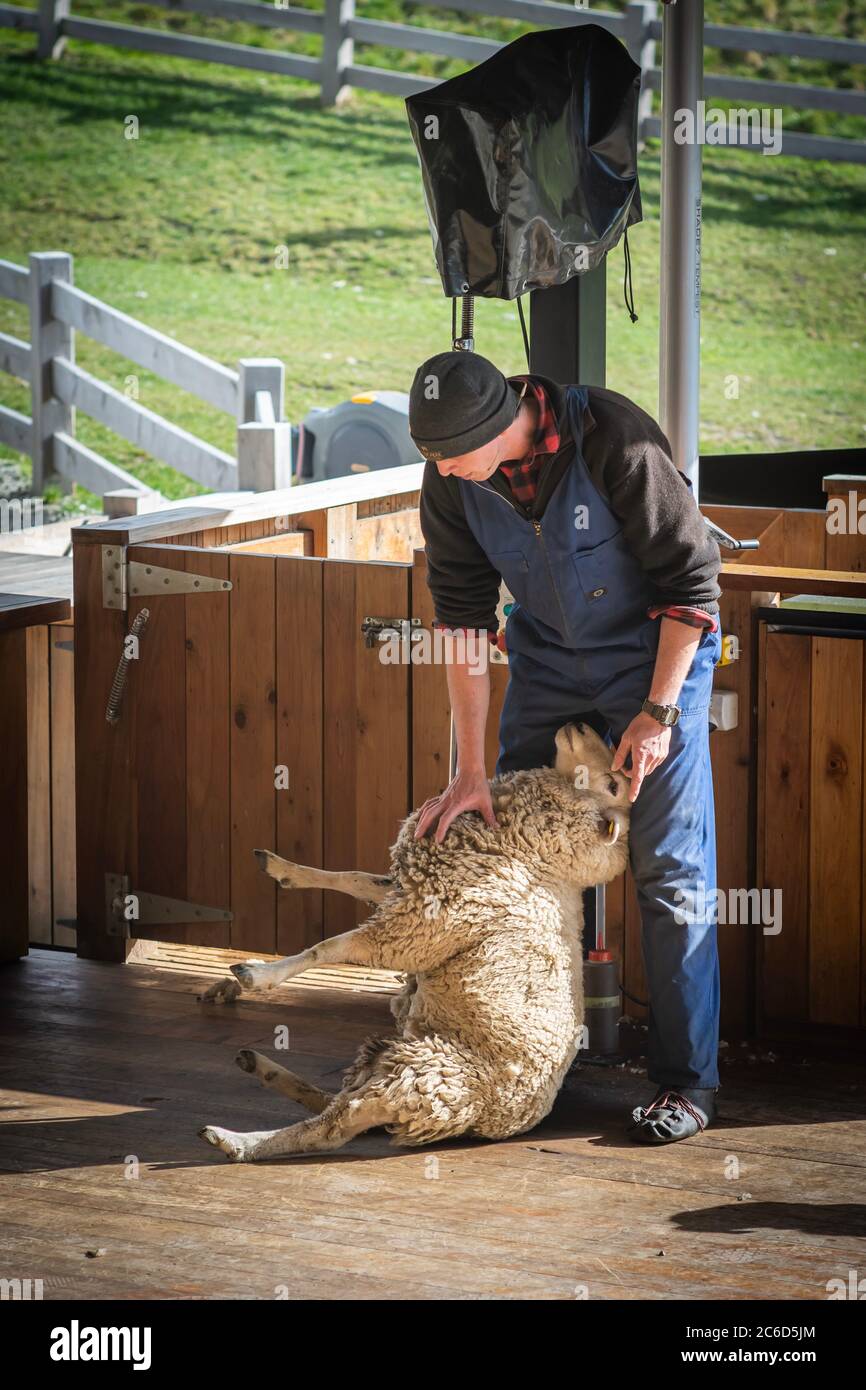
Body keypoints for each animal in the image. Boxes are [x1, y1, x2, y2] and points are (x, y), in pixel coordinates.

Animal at [198, 721, 631, 1163]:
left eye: (613, 784)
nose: (580, 724)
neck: (540, 854)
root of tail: (490, 1123)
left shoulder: (422, 926)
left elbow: (330, 947)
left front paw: (257, 974)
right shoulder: (413, 891)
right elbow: (353, 877)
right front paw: (283, 869)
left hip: (423, 1075)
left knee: (334, 1126)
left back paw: (238, 1141)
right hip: (392, 1060)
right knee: (336, 1104)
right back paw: (258, 1069)